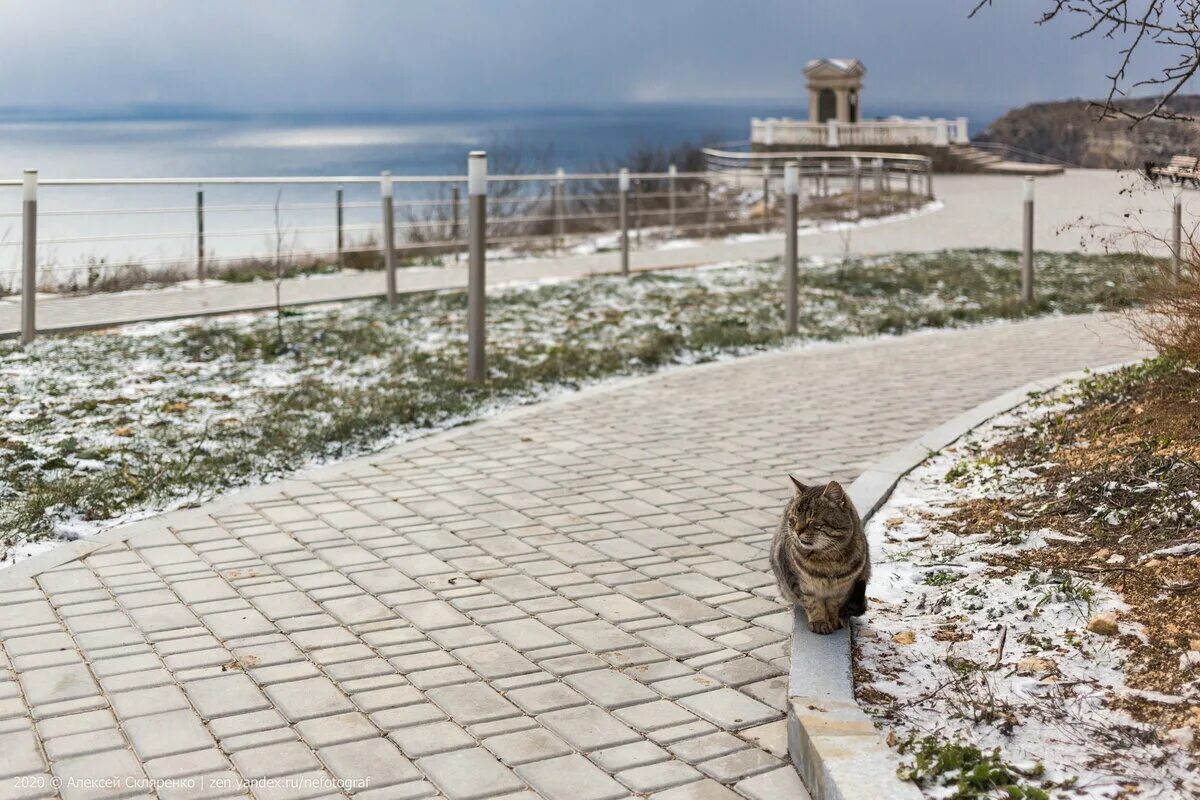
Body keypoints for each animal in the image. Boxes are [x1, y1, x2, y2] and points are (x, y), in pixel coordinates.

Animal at [772, 479, 868, 633]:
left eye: (811, 521)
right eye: (793, 519)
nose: (797, 531)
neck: (827, 558)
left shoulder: (843, 589)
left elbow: (833, 605)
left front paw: (833, 620)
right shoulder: (798, 583)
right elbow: (813, 603)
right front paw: (819, 621)